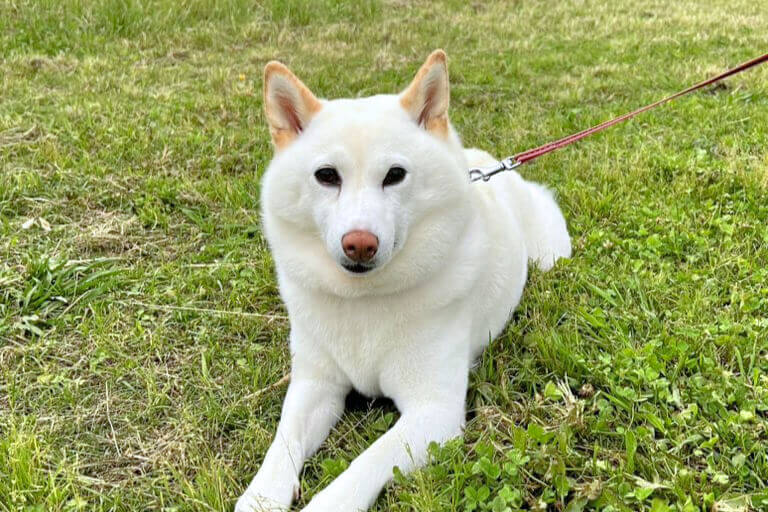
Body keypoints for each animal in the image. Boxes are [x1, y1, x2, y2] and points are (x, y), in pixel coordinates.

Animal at [237, 49, 572, 512]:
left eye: (394, 175)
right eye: (327, 176)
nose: (360, 244)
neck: (364, 302)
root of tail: (490, 164)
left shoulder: (433, 412)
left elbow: (364, 464)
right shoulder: (314, 385)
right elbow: (282, 443)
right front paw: (260, 496)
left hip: (551, 254)